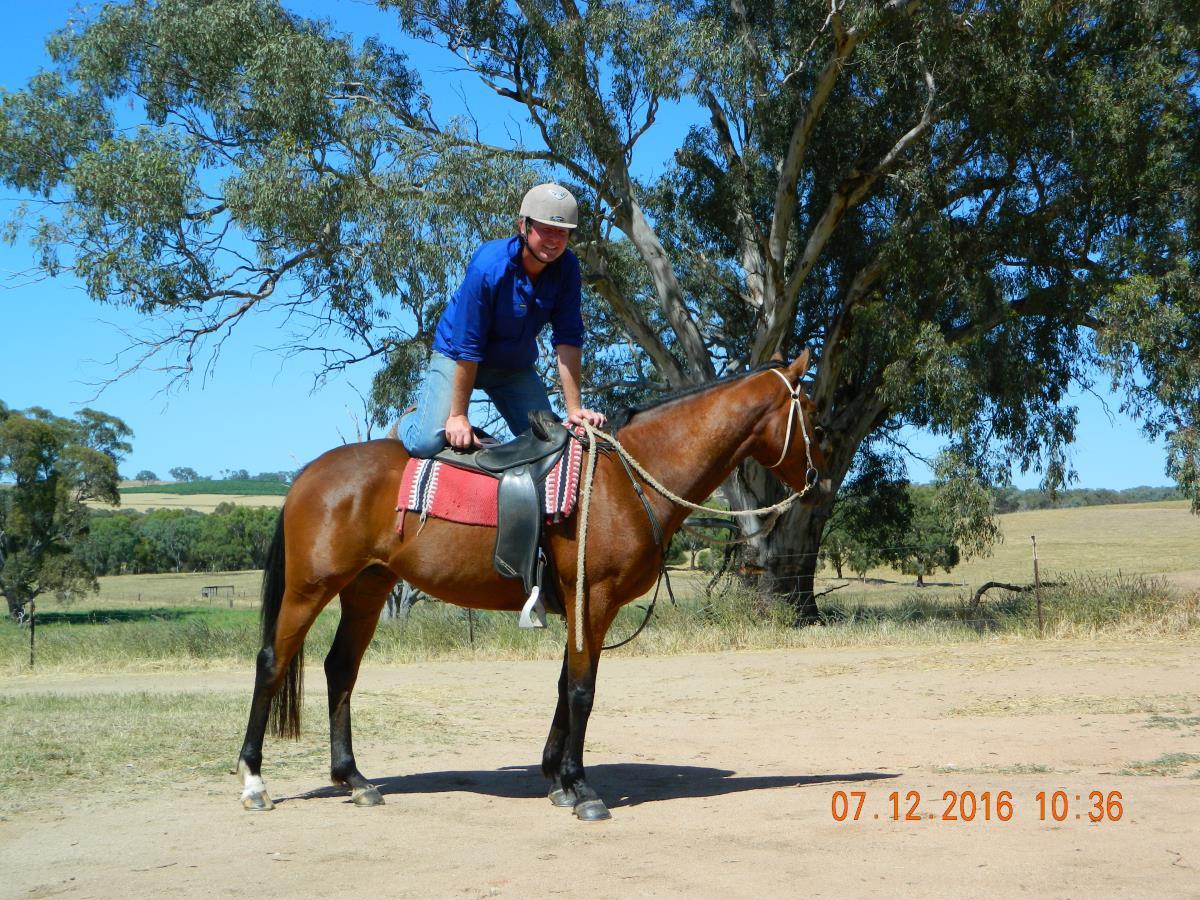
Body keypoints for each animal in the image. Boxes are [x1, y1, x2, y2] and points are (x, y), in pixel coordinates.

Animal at [236, 351, 828, 821]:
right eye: (813, 417)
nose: (820, 485)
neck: (622, 481)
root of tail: (309, 475)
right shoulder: (594, 599)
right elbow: (583, 691)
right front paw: (583, 788)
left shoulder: (581, 605)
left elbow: (566, 687)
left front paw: (557, 779)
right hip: (310, 588)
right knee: (272, 663)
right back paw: (254, 781)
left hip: (367, 587)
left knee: (341, 669)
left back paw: (354, 780)